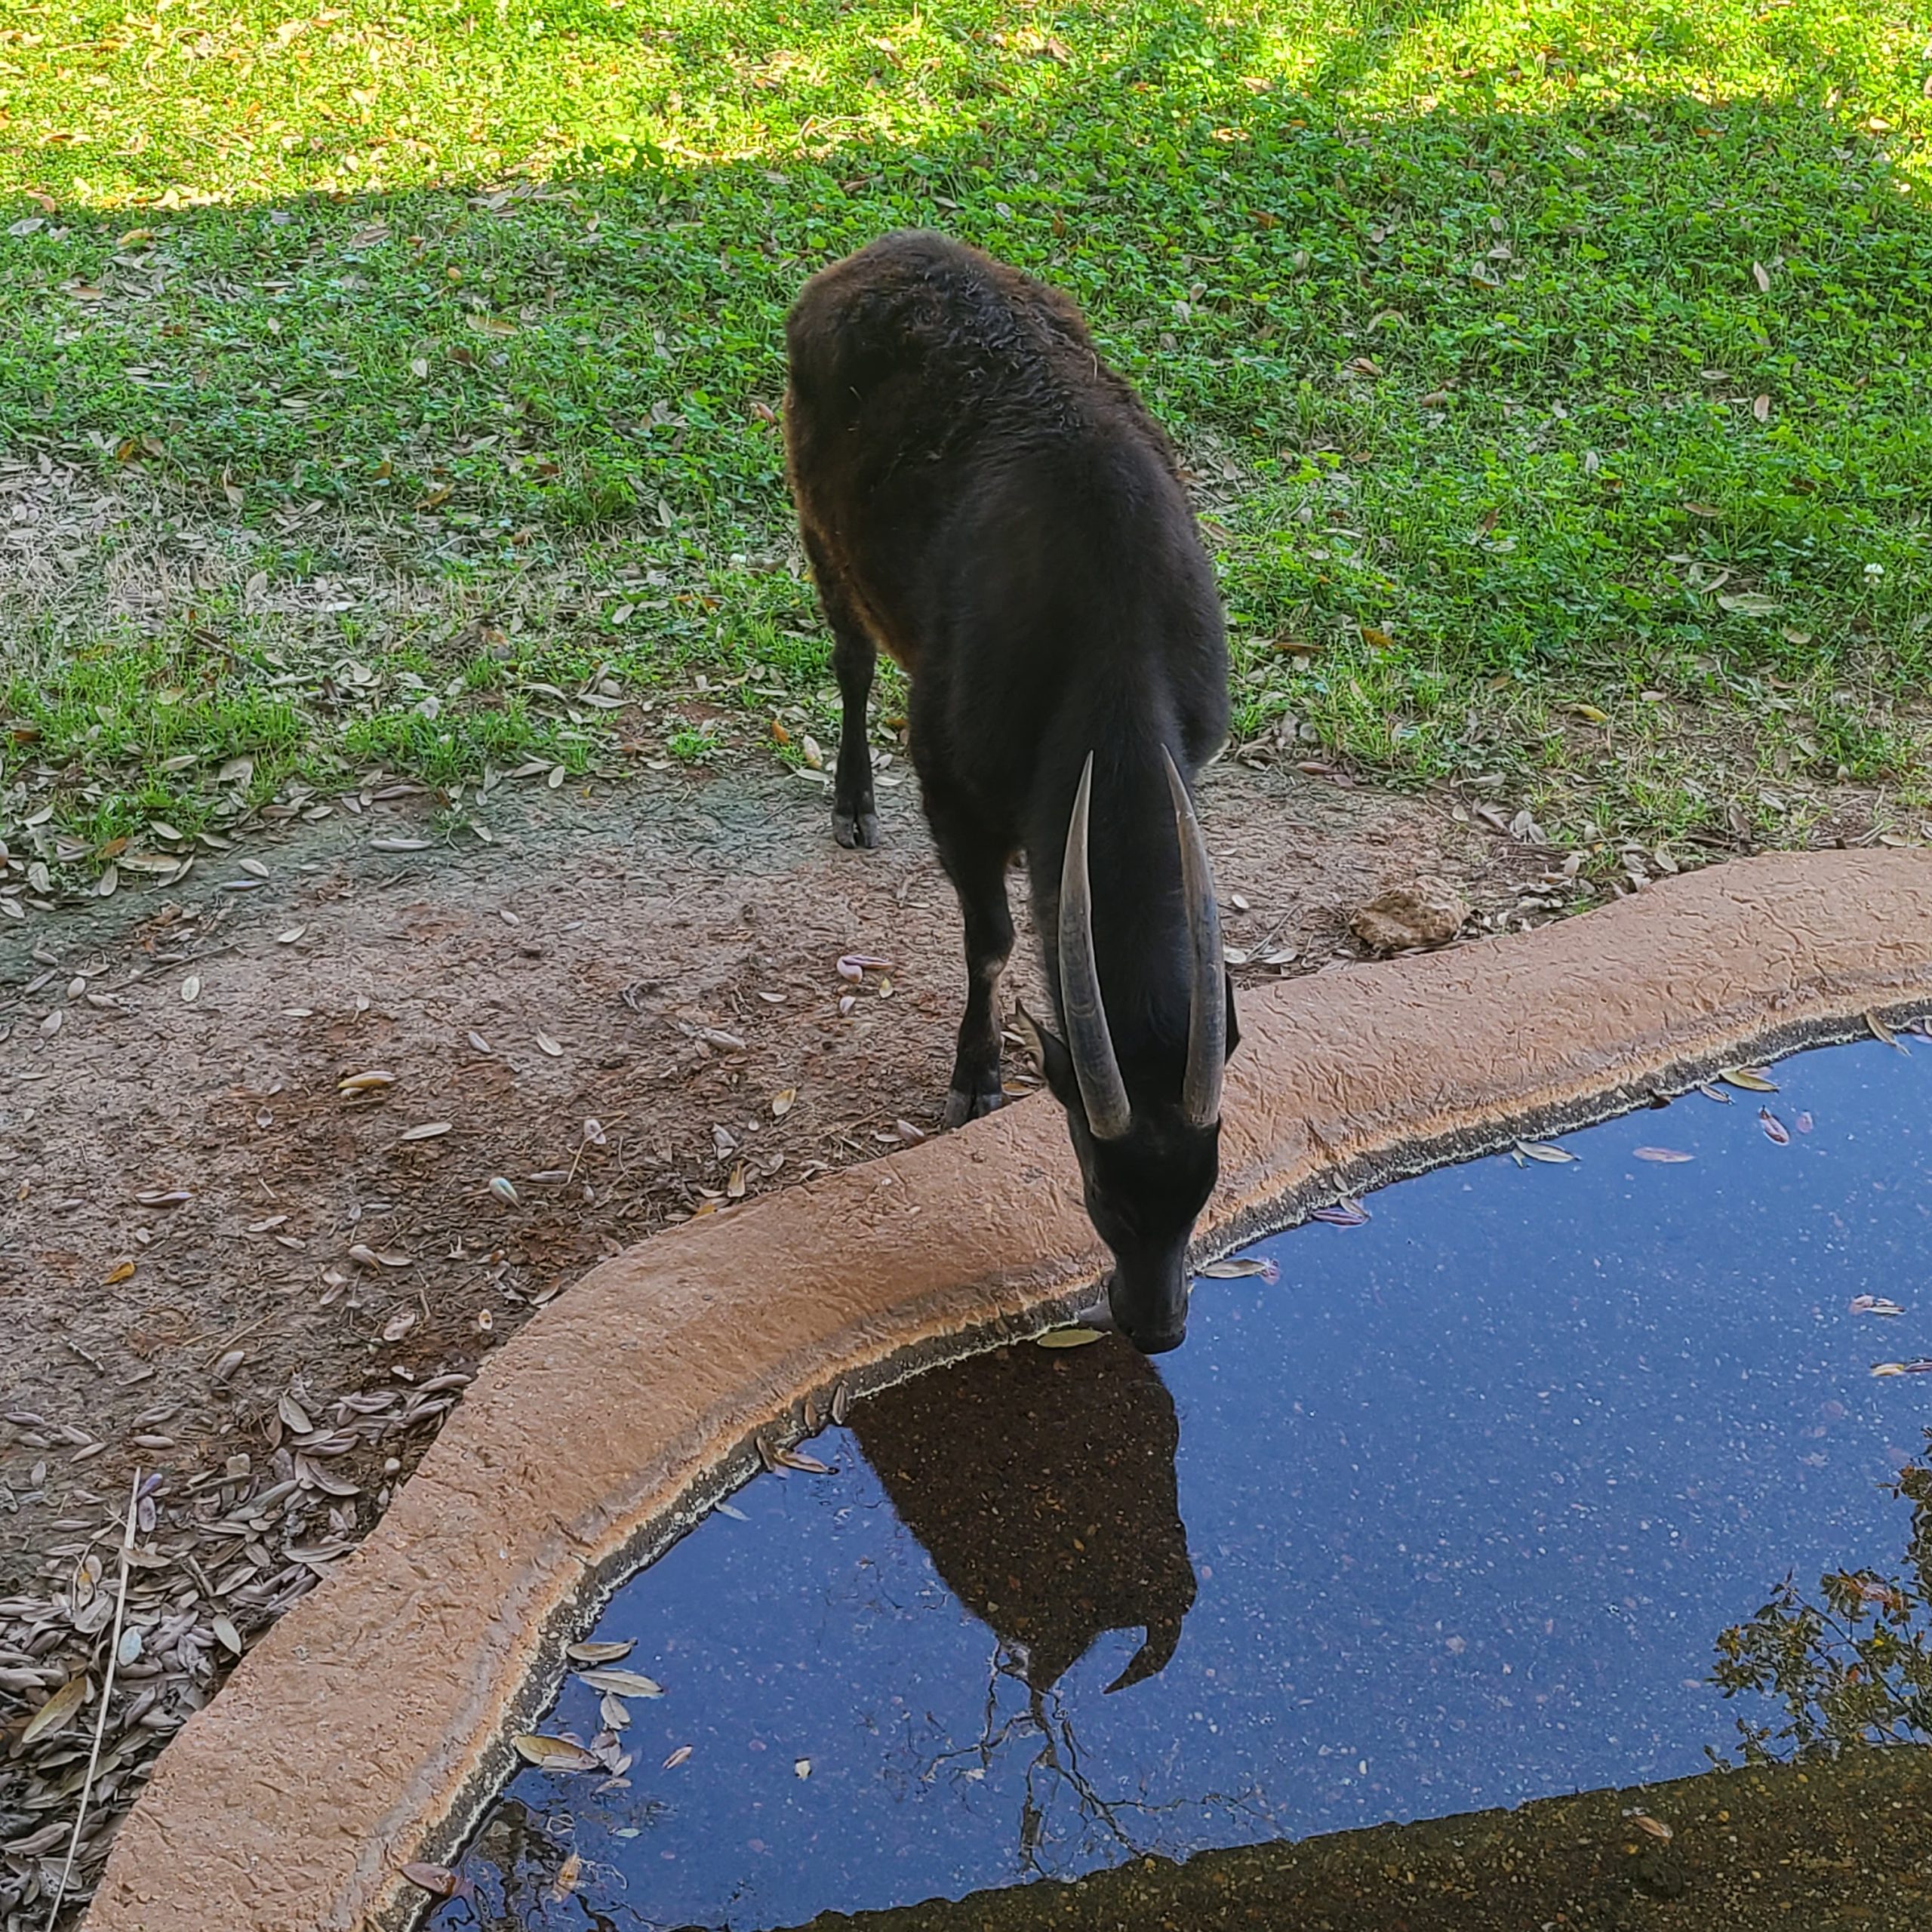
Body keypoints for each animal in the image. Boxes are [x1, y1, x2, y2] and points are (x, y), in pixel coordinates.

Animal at [783, 231, 1238, 1354]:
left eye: (1201, 1191)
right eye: (1106, 1192)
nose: (1156, 1326)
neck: (1108, 636)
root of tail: (867, 259)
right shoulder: (951, 784)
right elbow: (990, 941)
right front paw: (973, 1079)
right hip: (820, 534)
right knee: (850, 656)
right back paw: (852, 803)